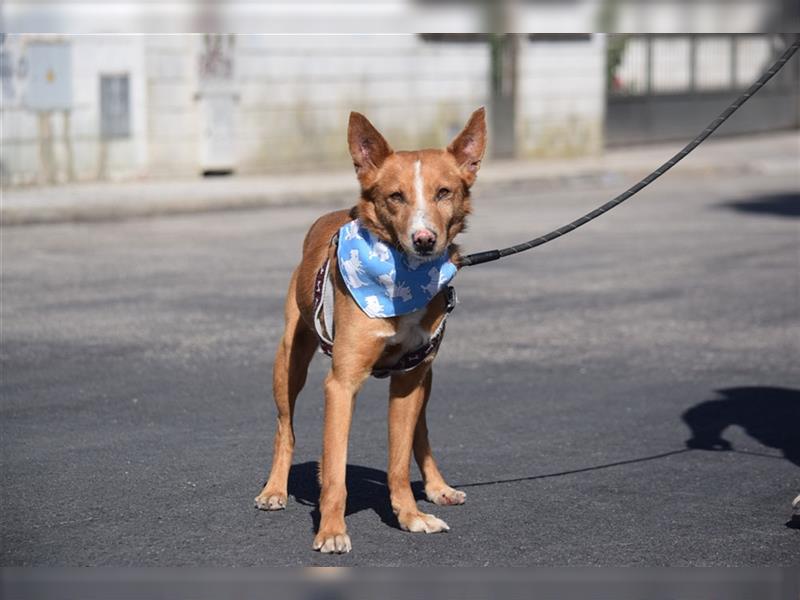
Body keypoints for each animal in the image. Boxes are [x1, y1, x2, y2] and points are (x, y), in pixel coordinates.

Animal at [255, 105, 488, 552]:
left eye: (444, 193)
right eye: (395, 196)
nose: (424, 239)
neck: (402, 278)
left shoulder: (409, 381)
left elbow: (398, 461)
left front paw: (410, 516)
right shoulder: (341, 383)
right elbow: (336, 472)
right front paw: (331, 530)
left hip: (426, 378)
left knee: (421, 435)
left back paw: (437, 487)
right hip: (288, 363)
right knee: (283, 429)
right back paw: (274, 489)